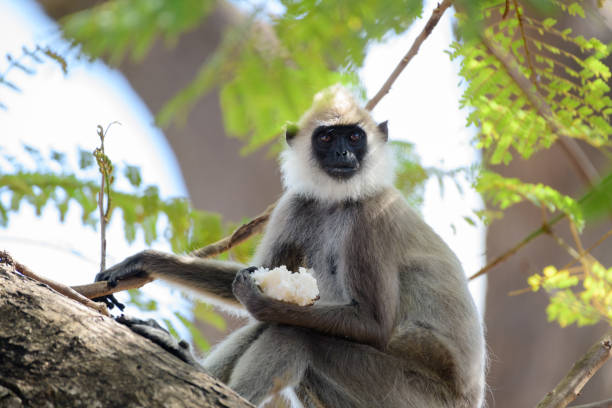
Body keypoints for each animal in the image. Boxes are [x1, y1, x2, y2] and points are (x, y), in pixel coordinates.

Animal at [97, 84, 488, 406]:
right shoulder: (297, 203)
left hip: (405, 392)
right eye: (327, 139)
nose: (343, 154)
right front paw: (145, 261)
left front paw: (257, 301)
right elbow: (258, 275)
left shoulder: (371, 217)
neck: (338, 201)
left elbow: (373, 324)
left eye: (354, 137)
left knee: (296, 332)